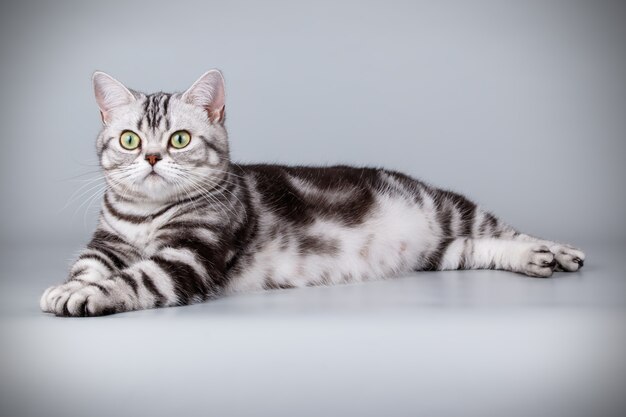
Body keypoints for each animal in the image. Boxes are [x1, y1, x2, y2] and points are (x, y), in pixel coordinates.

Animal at [40, 70, 584, 316]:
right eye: (131, 140)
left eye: (179, 139)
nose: (152, 158)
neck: (147, 216)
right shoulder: (107, 242)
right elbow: (88, 265)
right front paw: (68, 286)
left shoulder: (187, 257)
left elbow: (132, 279)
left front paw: (84, 295)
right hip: (439, 252)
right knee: (477, 248)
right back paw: (537, 259)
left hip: (449, 207)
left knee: (504, 230)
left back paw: (558, 251)